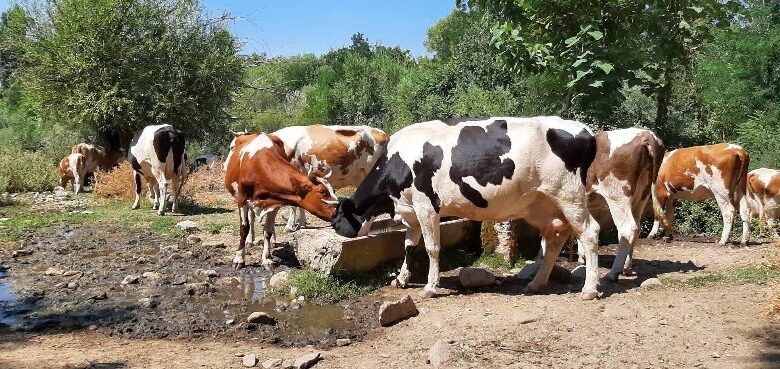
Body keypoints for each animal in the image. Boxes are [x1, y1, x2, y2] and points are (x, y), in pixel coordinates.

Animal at [222, 132, 338, 268]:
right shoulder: (242, 200)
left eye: (333, 190)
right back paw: (250, 240)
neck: (257, 166)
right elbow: (244, 228)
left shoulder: (275, 202)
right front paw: (239, 258)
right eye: (322, 192)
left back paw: (272, 242)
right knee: (251, 218)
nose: (339, 211)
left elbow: (267, 231)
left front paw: (267, 258)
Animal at [330, 115, 604, 300]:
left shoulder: (426, 205)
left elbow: (431, 248)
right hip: (542, 205)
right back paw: (536, 283)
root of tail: (586, 131)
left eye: (337, 216)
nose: (334, 226)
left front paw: (430, 287)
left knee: (589, 232)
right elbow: (408, 247)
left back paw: (589, 289)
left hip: (569, 195)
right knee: (556, 237)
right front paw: (401, 278)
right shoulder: (412, 210)